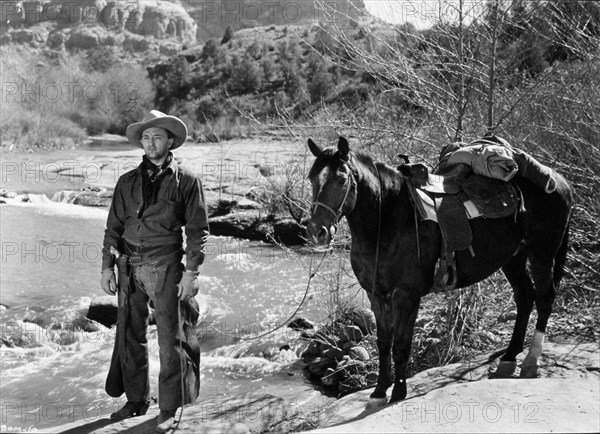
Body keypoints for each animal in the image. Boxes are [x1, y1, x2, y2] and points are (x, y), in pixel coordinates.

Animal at [308, 136, 576, 404]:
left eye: (342, 180)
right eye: (312, 179)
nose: (318, 231)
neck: (388, 222)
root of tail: (560, 181)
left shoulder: (405, 295)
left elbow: (401, 344)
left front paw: (398, 392)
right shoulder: (376, 294)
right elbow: (383, 342)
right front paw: (379, 390)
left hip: (542, 255)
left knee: (544, 299)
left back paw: (531, 361)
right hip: (513, 259)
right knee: (524, 297)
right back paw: (509, 357)